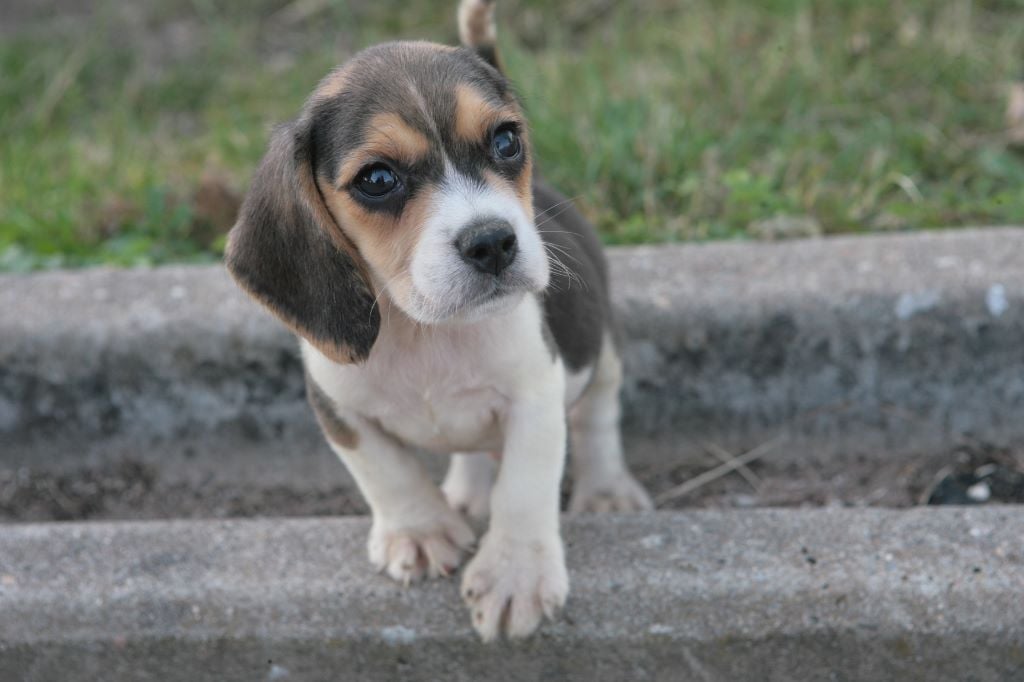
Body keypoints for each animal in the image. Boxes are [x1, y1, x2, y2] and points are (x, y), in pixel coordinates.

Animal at [225, 0, 652, 641]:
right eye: (377, 179)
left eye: (506, 140)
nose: (493, 241)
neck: (421, 329)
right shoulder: (337, 405)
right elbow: (384, 470)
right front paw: (420, 532)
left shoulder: (536, 396)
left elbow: (524, 487)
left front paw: (516, 576)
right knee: (472, 450)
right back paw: (467, 494)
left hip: (602, 354)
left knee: (598, 417)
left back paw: (606, 490)